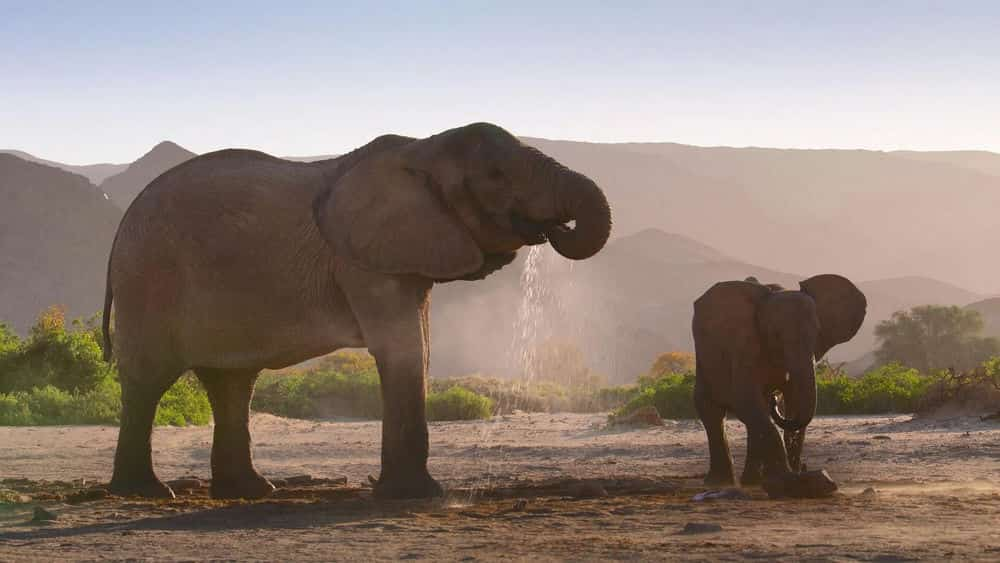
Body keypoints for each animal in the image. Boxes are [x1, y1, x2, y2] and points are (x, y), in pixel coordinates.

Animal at [105, 121, 612, 500]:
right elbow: (402, 350)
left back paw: (252, 491)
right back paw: (148, 493)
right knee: (150, 379)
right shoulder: (362, 260)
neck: (420, 148)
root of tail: (120, 228)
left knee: (232, 383)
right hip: (149, 280)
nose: (553, 230)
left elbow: (421, 347)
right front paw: (414, 496)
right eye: (495, 176)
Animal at [692, 274, 864, 498]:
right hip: (704, 360)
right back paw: (719, 482)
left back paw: (752, 481)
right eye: (776, 334)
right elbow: (745, 399)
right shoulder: (744, 346)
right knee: (712, 411)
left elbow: (792, 400)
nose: (774, 399)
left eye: (818, 333)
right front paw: (788, 480)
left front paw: (796, 478)